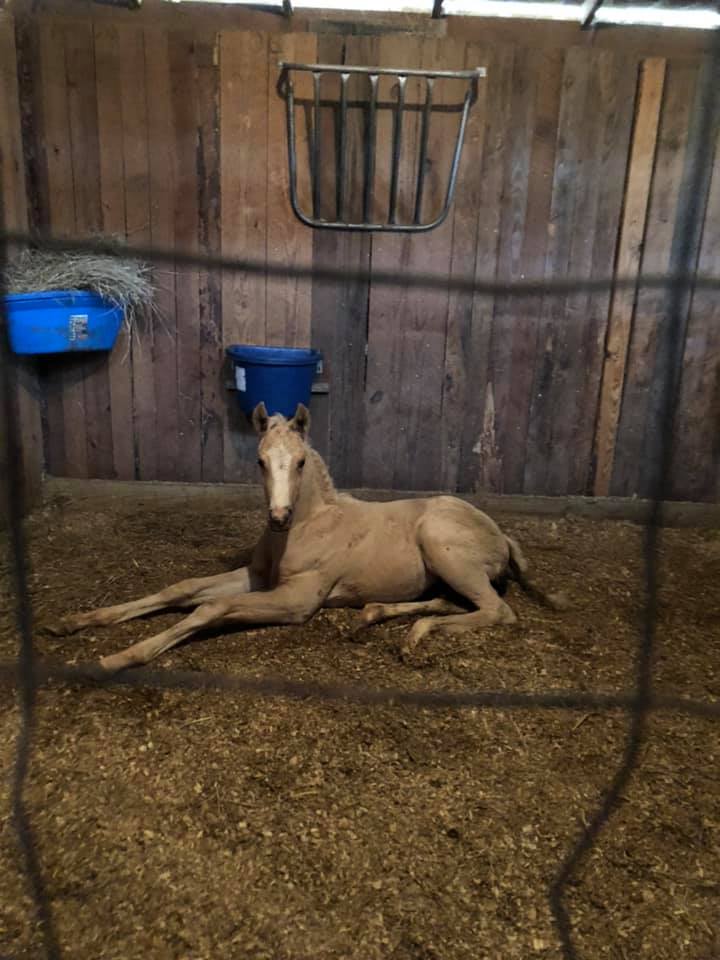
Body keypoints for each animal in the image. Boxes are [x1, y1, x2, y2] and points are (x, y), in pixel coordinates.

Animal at [52, 402, 568, 672]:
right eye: (260, 460)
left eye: (299, 462)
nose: (279, 516)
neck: (304, 529)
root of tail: (502, 535)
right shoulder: (259, 577)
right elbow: (180, 589)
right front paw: (75, 621)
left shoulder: (298, 599)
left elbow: (210, 607)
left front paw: (122, 656)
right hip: (443, 570)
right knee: (451, 601)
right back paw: (374, 615)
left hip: (440, 544)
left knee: (497, 611)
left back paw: (413, 638)